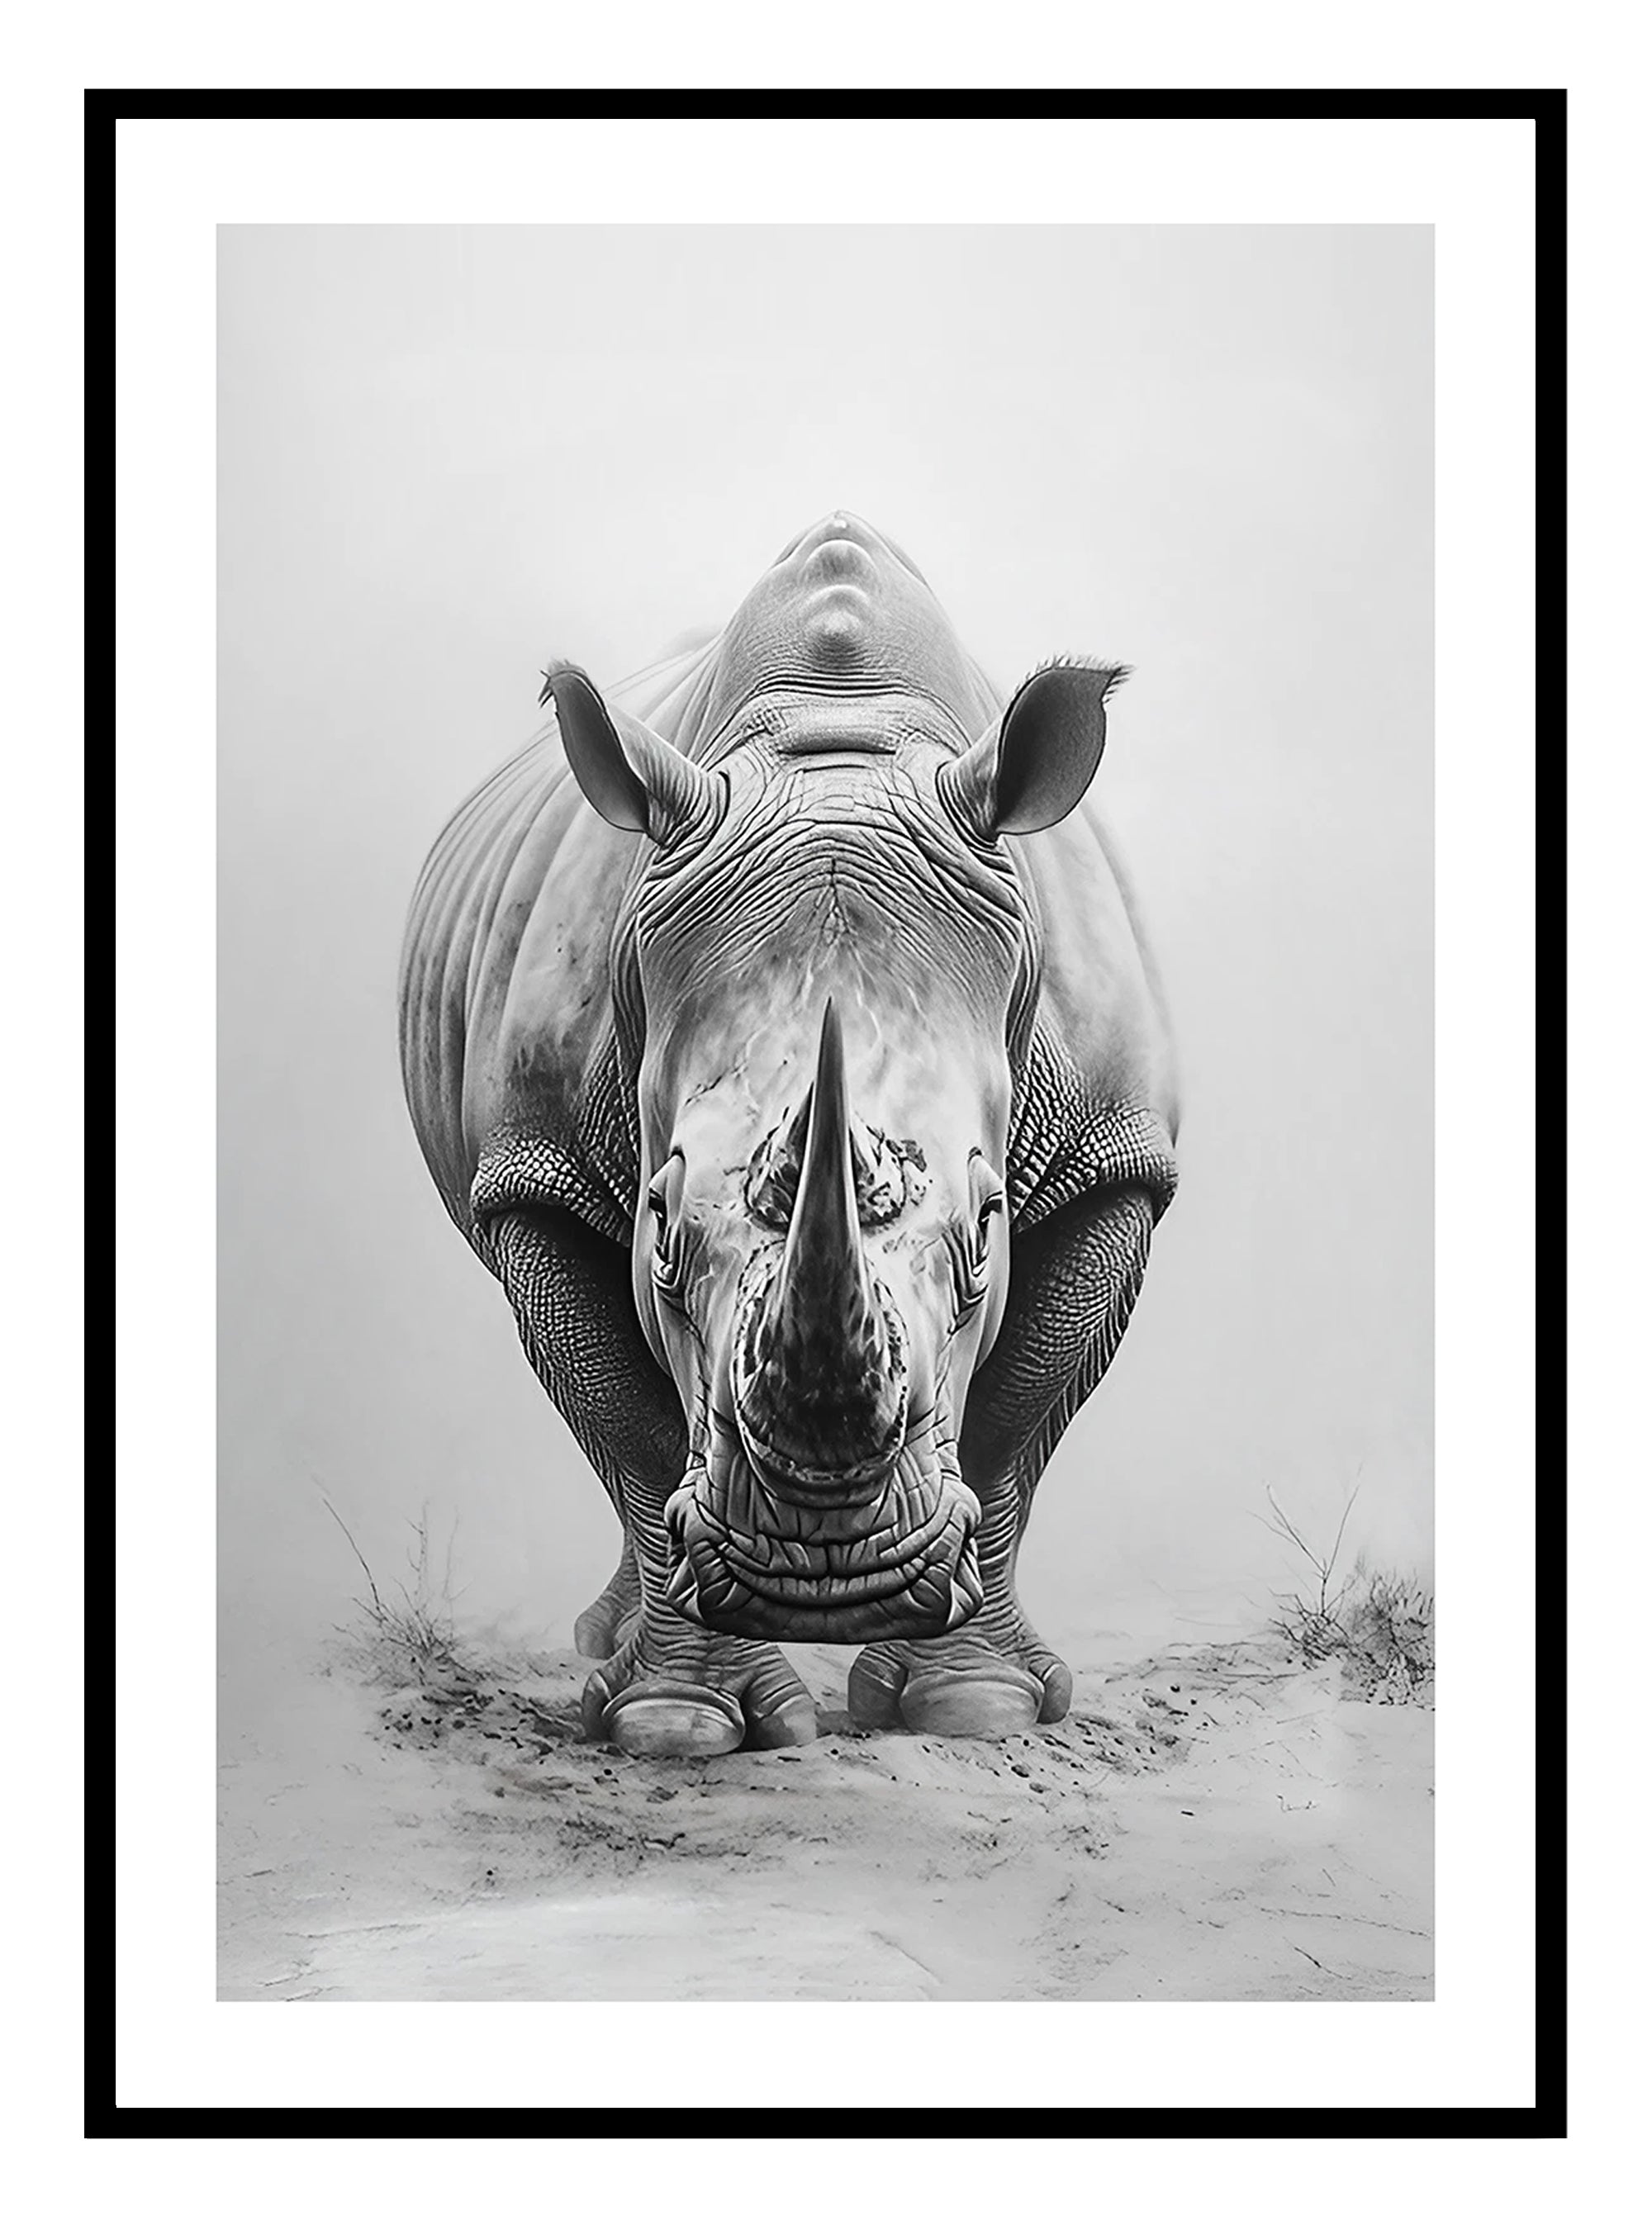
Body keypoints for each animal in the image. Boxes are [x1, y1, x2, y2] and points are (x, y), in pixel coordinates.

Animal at [399, 513, 1178, 1758]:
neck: (839, 752)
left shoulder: (1113, 1159)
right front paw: (673, 1723)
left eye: (989, 1227)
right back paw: (599, 1648)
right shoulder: (533, 1170)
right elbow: (629, 1431)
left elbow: (1012, 1425)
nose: (822, 1579)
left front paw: (977, 1704)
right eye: (659, 1228)